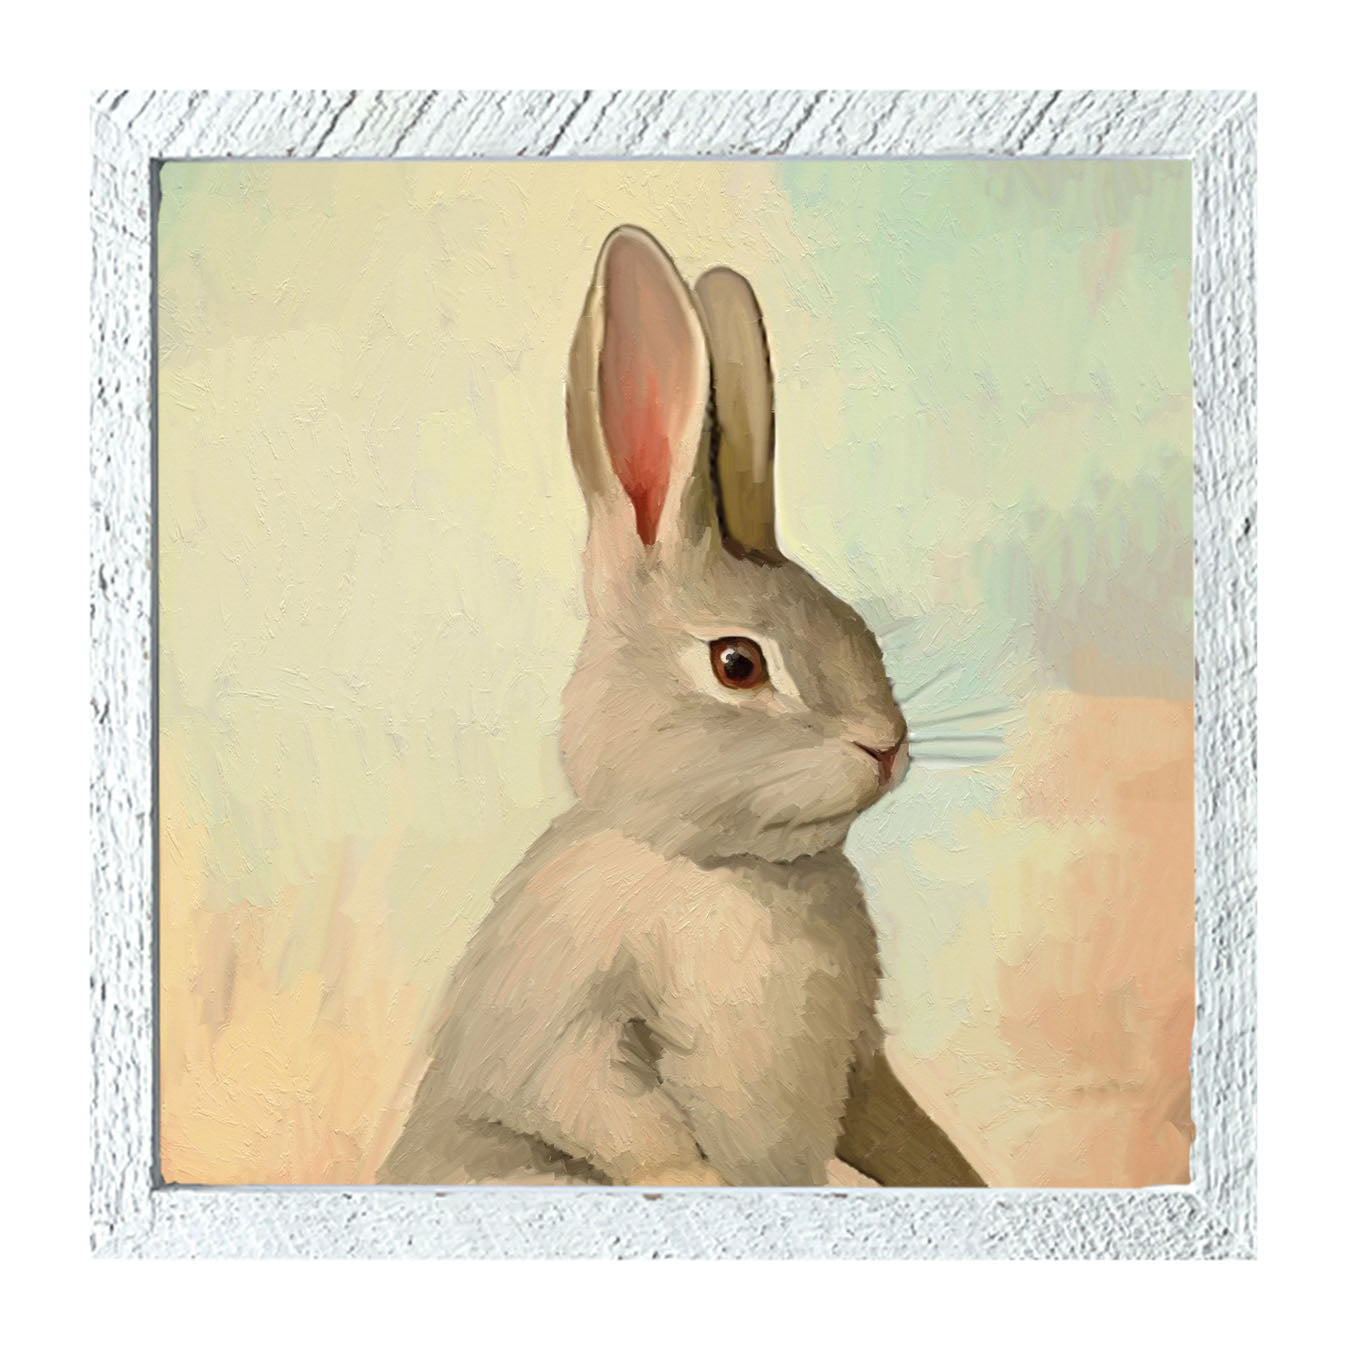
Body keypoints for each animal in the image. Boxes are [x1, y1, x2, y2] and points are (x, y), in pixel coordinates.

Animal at [379, 225, 983, 1188]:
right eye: (738, 664)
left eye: (860, 629)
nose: (886, 746)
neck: (732, 870)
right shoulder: (566, 1019)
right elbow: (611, 1110)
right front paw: (702, 1182)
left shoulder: (863, 1064)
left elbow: (896, 1126)